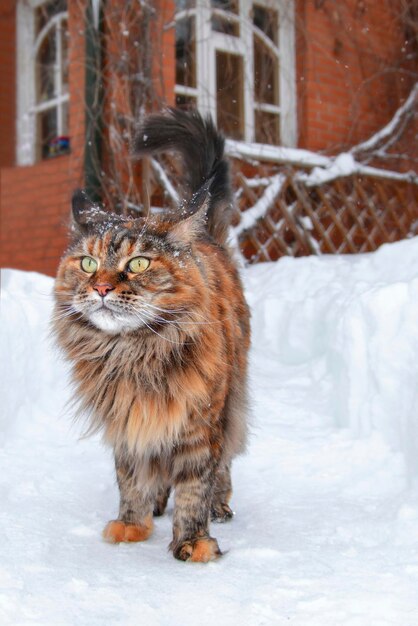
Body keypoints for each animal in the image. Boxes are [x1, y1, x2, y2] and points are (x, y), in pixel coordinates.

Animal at [51, 107, 248, 560]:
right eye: (88, 263)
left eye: (138, 264)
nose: (102, 288)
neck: (133, 353)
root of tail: (207, 238)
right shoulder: (127, 420)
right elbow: (132, 478)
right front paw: (132, 524)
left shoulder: (199, 422)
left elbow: (194, 486)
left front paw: (193, 541)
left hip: (230, 403)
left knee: (224, 464)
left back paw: (220, 506)